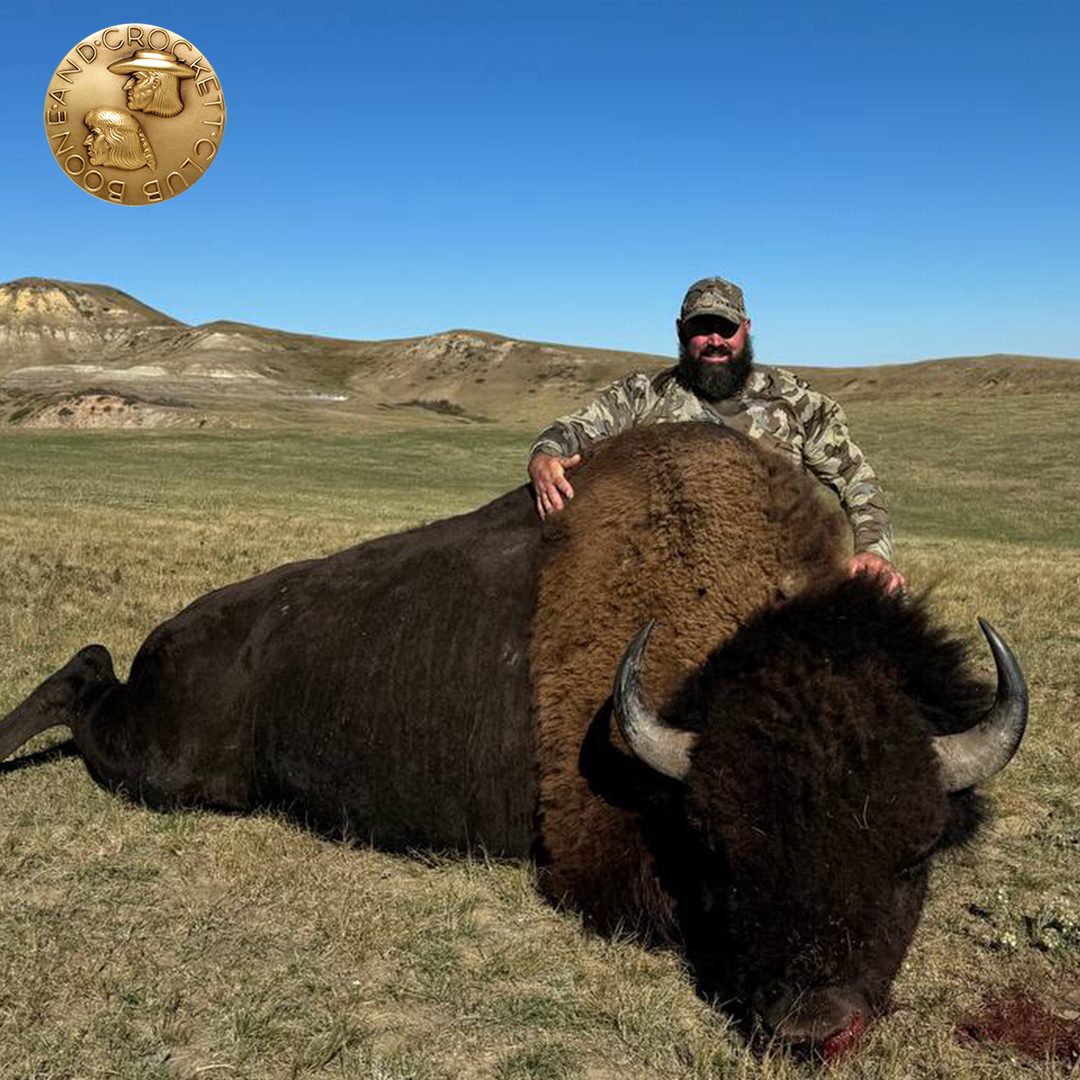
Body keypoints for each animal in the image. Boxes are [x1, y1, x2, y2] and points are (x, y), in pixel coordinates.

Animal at [0, 423, 1027, 1055]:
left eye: (915, 851)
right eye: (721, 849)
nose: (816, 1028)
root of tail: (173, 632)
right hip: (165, 766)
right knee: (84, 676)